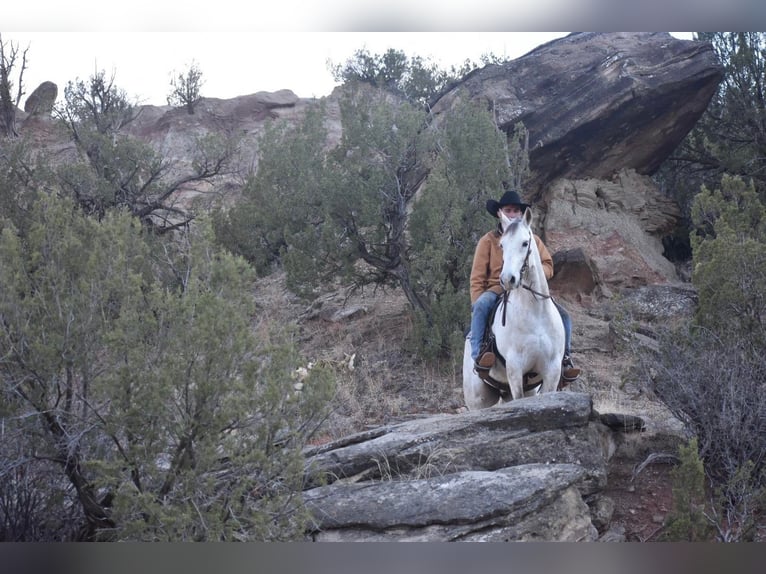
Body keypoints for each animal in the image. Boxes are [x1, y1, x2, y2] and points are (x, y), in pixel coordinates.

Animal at [462, 207, 568, 410]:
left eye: (525, 243)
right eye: (502, 245)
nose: (507, 279)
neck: (535, 314)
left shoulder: (552, 371)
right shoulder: (515, 368)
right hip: (478, 400)